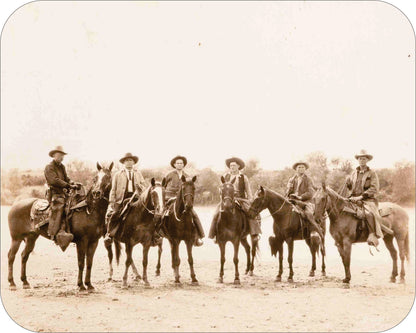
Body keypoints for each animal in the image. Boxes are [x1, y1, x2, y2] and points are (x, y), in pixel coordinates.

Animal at [9, 161, 114, 290]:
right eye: (95, 178)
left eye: (108, 177)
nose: (96, 193)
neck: (89, 210)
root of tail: (14, 205)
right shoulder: (82, 241)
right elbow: (81, 263)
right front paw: (81, 286)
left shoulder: (94, 242)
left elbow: (89, 263)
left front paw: (89, 285)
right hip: (16, 239)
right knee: (11, 256)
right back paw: (12, 283)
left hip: (31, 238)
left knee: (24, 256)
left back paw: (25, 282)